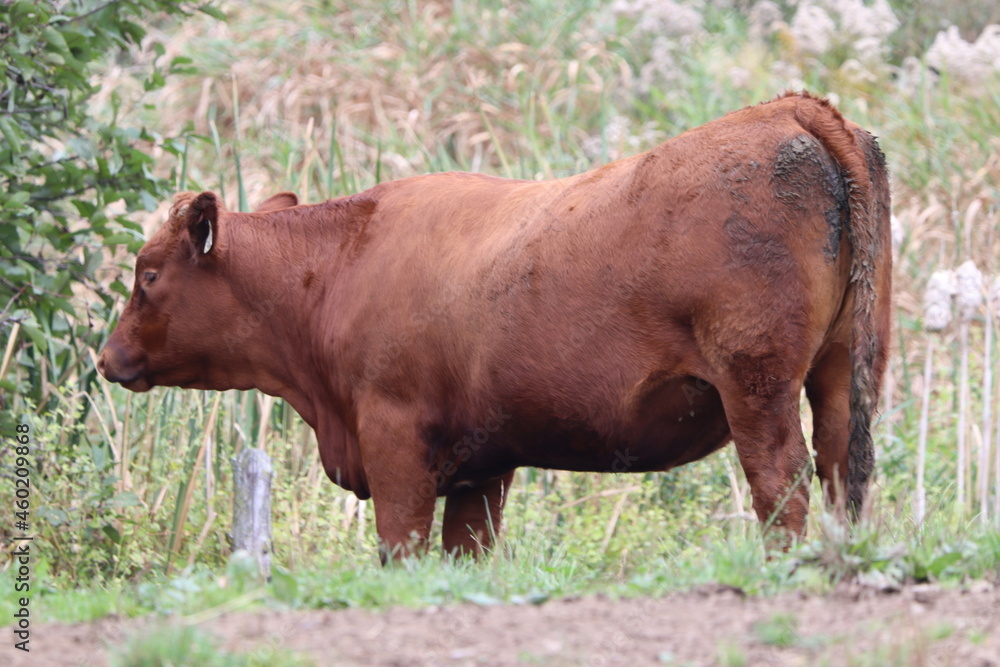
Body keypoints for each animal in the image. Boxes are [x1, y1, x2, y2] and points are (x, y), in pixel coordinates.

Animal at [98, 91, 891, 561]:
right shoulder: (482, 466)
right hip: (845, 372)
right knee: (840, 472)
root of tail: (792, 108)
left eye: (148, 274)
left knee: (781, 483)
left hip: (757, 386)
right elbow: (465, 552)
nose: (106, 358)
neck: (339, 267)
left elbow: (401, 549)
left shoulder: (395, 441)